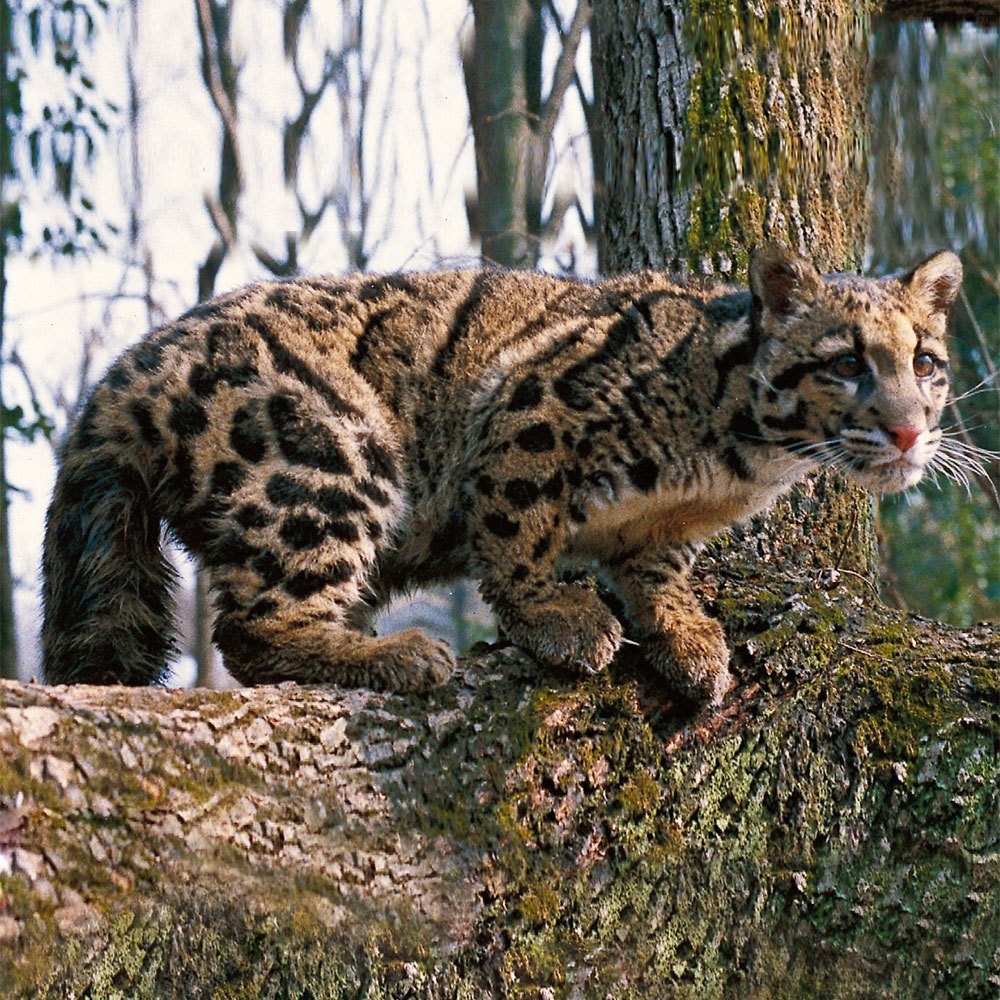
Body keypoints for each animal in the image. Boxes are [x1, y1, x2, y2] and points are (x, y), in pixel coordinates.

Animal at [43, 244, 964, 704]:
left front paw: (685, 632)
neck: (744, 455)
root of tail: (120, 379)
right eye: (845, 362)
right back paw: (400, 656)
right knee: (253, 629)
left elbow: (658, 567)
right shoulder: (530, 409)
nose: (910, 429)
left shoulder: (664, 524)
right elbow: (519, 530)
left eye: (925, 362)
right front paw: (560, 618)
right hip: (329, 451)